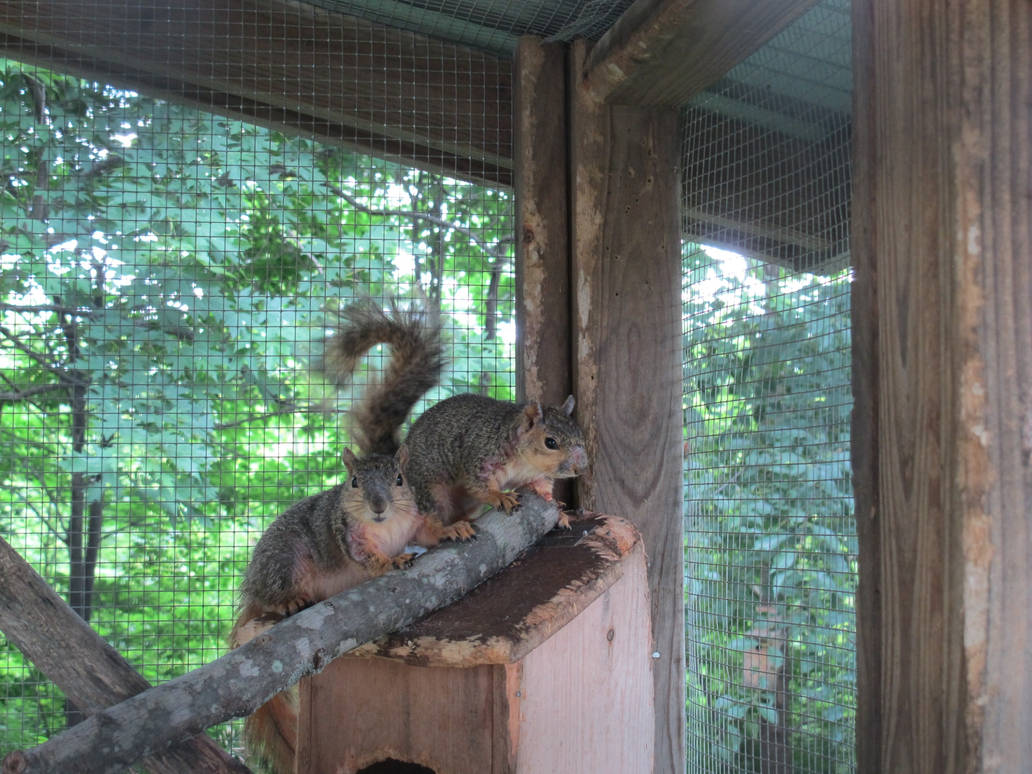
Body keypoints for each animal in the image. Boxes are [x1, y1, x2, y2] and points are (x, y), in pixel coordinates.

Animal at [231, 301, 472, 774]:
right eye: (355, 482)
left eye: (399, 479)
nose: (378, 505)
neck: (386, 526)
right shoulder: (348, 535)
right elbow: (366, 556)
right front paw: (390, 562)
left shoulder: (415, 521)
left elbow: (431, 531)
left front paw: (453, 528)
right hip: (284, 561)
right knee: (273, 595)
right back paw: (287, 600)